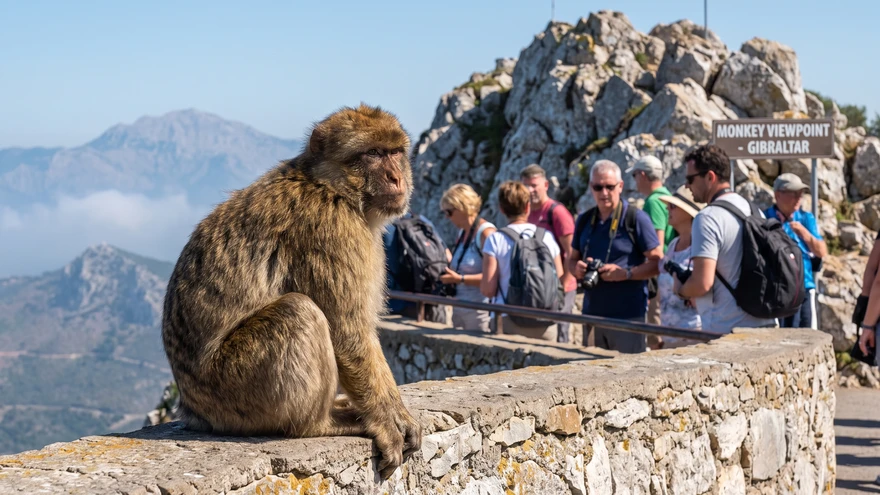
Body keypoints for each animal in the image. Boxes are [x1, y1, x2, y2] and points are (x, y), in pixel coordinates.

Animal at [161, 104, 422, 479]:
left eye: (396, 152)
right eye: (373, 153)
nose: (396, 178)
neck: (333, 188)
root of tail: (192, 407)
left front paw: (400, 415)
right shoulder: (333, 233)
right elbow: (349, 333)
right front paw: (387, 423)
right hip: (233, 388)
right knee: (298, 311)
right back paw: (321, 423)